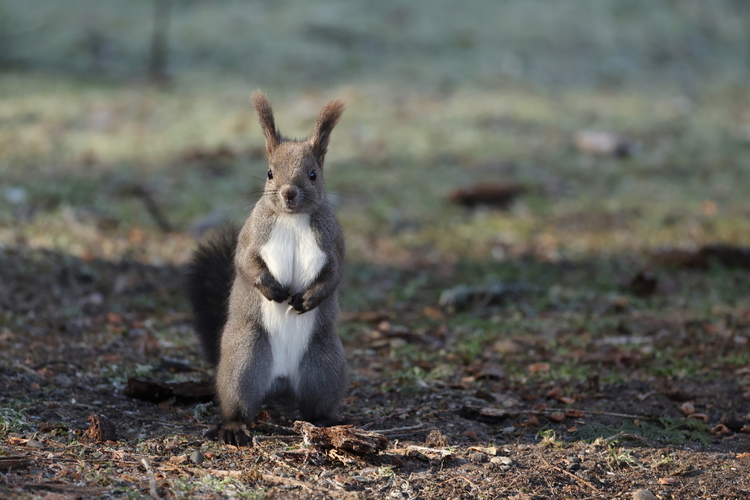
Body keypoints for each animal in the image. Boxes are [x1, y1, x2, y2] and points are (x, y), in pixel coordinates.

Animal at [188, 90, 352, 446]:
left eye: (313, 174)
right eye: (269, 173)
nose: (289, 193)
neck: (292, 218)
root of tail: (281, 379)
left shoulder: (333, 243)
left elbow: (334, 275)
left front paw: (308, 298)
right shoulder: (252, 236)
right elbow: (246, 263)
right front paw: (272, 289)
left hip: (324, 365)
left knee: (316, 403)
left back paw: (326, 421)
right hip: (246, 356)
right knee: (238, 400)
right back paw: (234, 427)